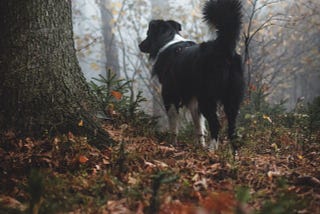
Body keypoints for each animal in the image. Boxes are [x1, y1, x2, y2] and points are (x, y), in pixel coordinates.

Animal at [139, 0, 244, 150]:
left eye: (148, 33)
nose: (140, 45)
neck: (169, 41)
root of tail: (223, 48)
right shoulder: (193, 99)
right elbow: (198, 125)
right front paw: (199, 145)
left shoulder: (170, 95)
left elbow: (173, 124)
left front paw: (172, 144)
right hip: (232, 98)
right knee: (232, 128)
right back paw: (232, 153)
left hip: (207, 97)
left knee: (216, 124)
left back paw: (211, 149)